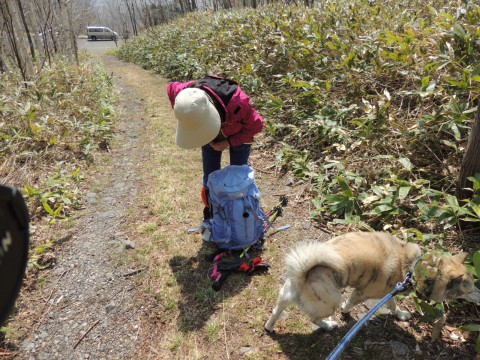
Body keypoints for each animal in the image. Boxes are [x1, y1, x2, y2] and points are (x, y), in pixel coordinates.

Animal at [264, 232, 478, 334]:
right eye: (468, 290)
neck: (417, 268)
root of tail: (303, 274)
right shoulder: (362, 293)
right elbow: (350, 303)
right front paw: (346, 312)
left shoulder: (389, 292)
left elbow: (393, 305)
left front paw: (400, 314)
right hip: (330, 302)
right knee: (315, 319)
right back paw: (329, 325)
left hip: (284, 297)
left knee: (276, 311)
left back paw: (269, 327)